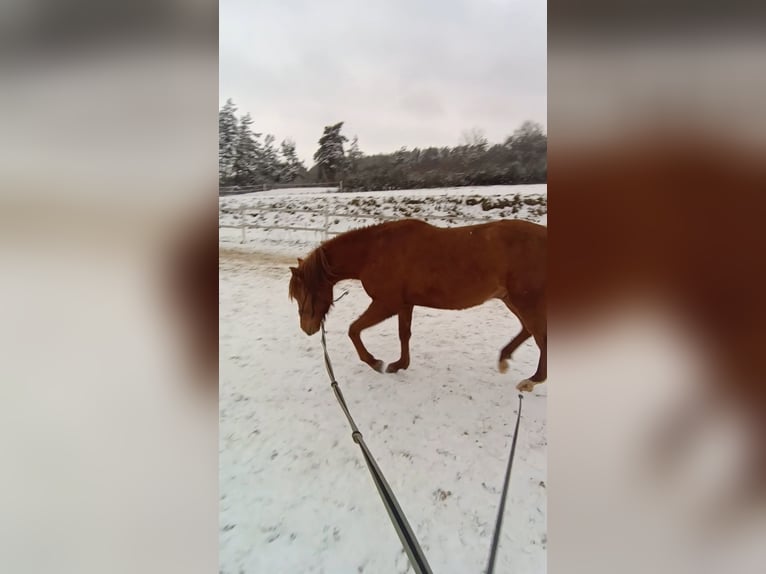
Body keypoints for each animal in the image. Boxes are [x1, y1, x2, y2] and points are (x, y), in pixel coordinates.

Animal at [288, 218, 547, 392]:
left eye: (304, 293)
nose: (307, 328)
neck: (373, 251)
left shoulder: (386, 304)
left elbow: (354, 329)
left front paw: (375, 362)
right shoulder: (404, 305)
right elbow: (404, 334)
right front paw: (399, 365)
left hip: (526, 301)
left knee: (540, 337)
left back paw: (532, 380)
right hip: (512, 299)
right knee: (528, 331)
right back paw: (504, 358)